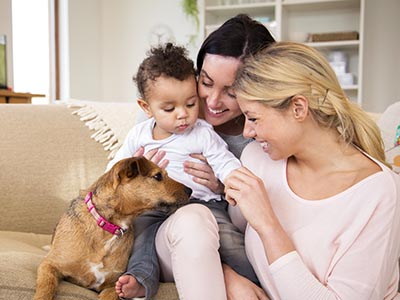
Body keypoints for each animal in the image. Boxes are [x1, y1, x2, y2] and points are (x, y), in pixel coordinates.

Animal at [33, 157, 191, 300]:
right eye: (158, 176)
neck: (109, 226)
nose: (190, 190)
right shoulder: (49, 265)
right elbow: (46, 286)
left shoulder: (114, 285)